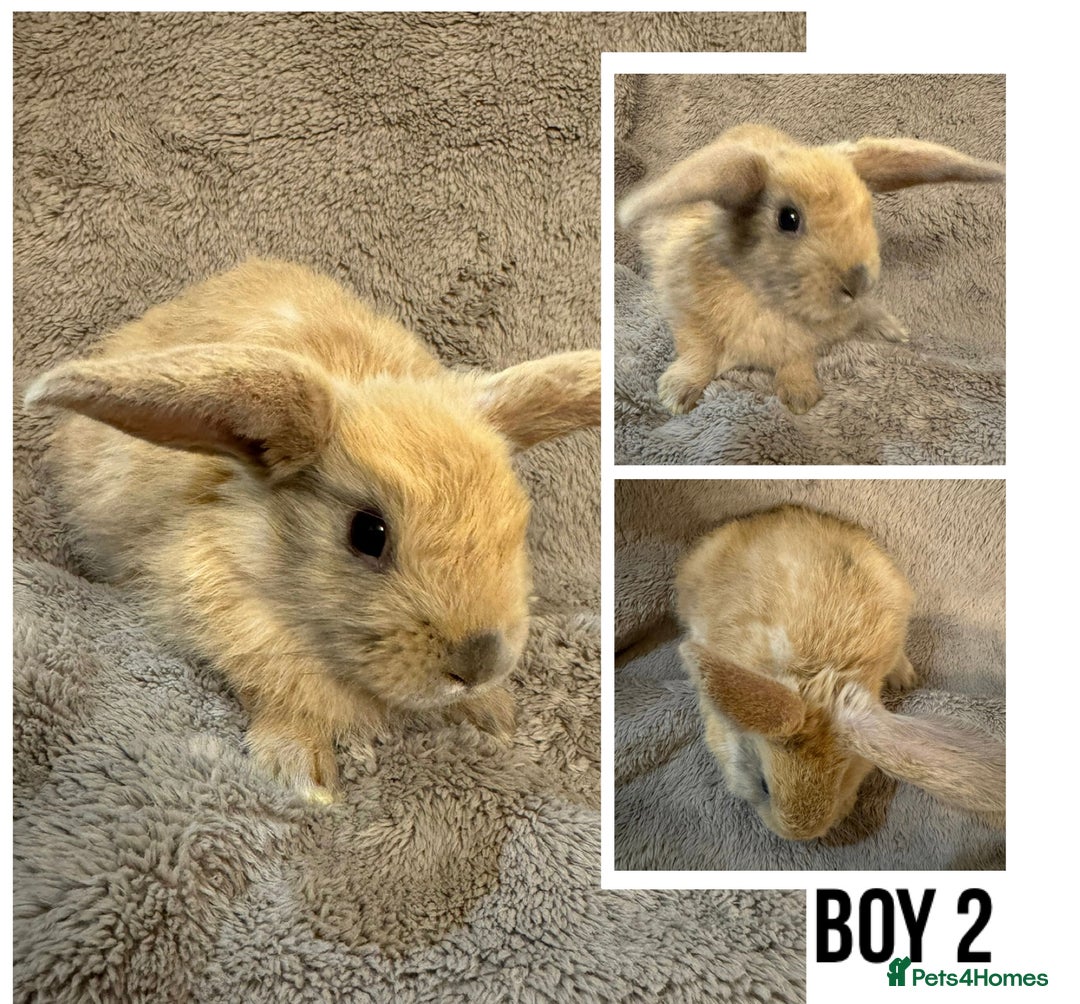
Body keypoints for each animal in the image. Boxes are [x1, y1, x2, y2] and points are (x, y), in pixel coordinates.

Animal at [24, 259, 601, 804]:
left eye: (517, 519)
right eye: (368, 533)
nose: (478, 664)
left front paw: (492, 714)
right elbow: (278, 695)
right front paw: (301, 772)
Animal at [617, 123, 1005, 414]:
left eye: (867, 209)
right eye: (788, 219)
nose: (858, 282)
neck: (767, 295)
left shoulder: (804, 343)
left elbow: (797, 360)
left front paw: (801, 396)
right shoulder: (688, 314)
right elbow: (698, 353)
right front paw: (675, 394)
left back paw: (893, 331)